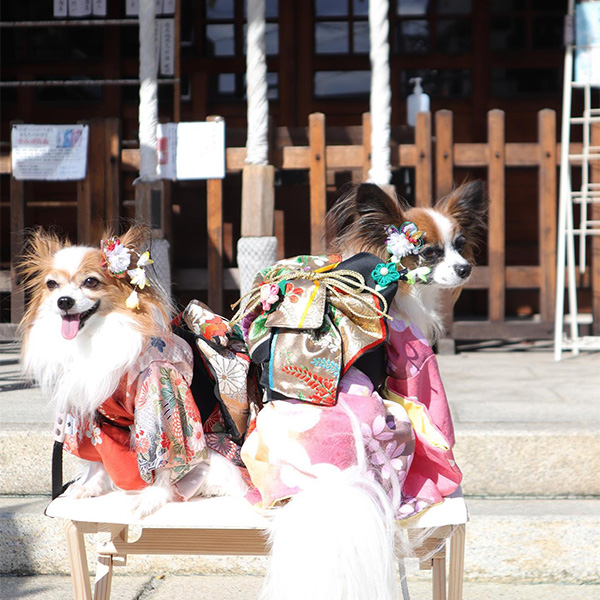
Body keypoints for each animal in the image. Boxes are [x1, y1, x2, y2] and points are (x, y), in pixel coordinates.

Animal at [18, 227, 244, 516]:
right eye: (51, 285)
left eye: (90, 282)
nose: (64, 301)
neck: (96, 336)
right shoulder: (95, 413)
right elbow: (99, 455)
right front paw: (90, 486)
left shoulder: (162, 400)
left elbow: (164, 460)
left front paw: (153, 497)